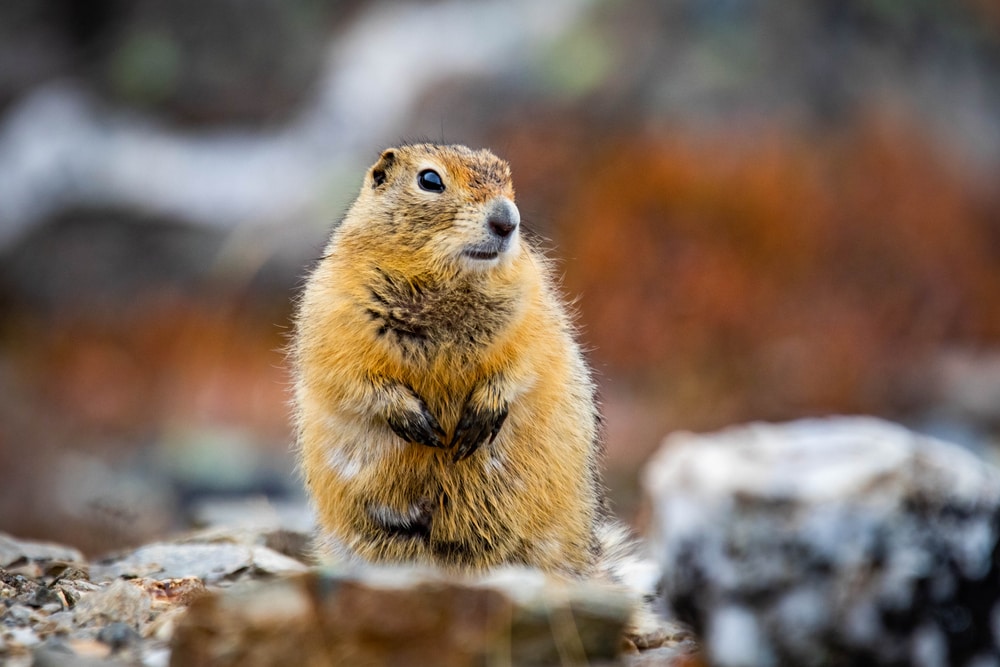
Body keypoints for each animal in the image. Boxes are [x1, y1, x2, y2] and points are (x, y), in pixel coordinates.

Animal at [291, 144, 673, 645]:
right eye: (430, 180)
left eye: (508, 179)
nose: (507, 220)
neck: (448, 281)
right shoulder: (333, 307)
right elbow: (350, 374)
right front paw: (414, 419)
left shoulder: (534, 304)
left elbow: (524, 360)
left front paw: (482, 416)